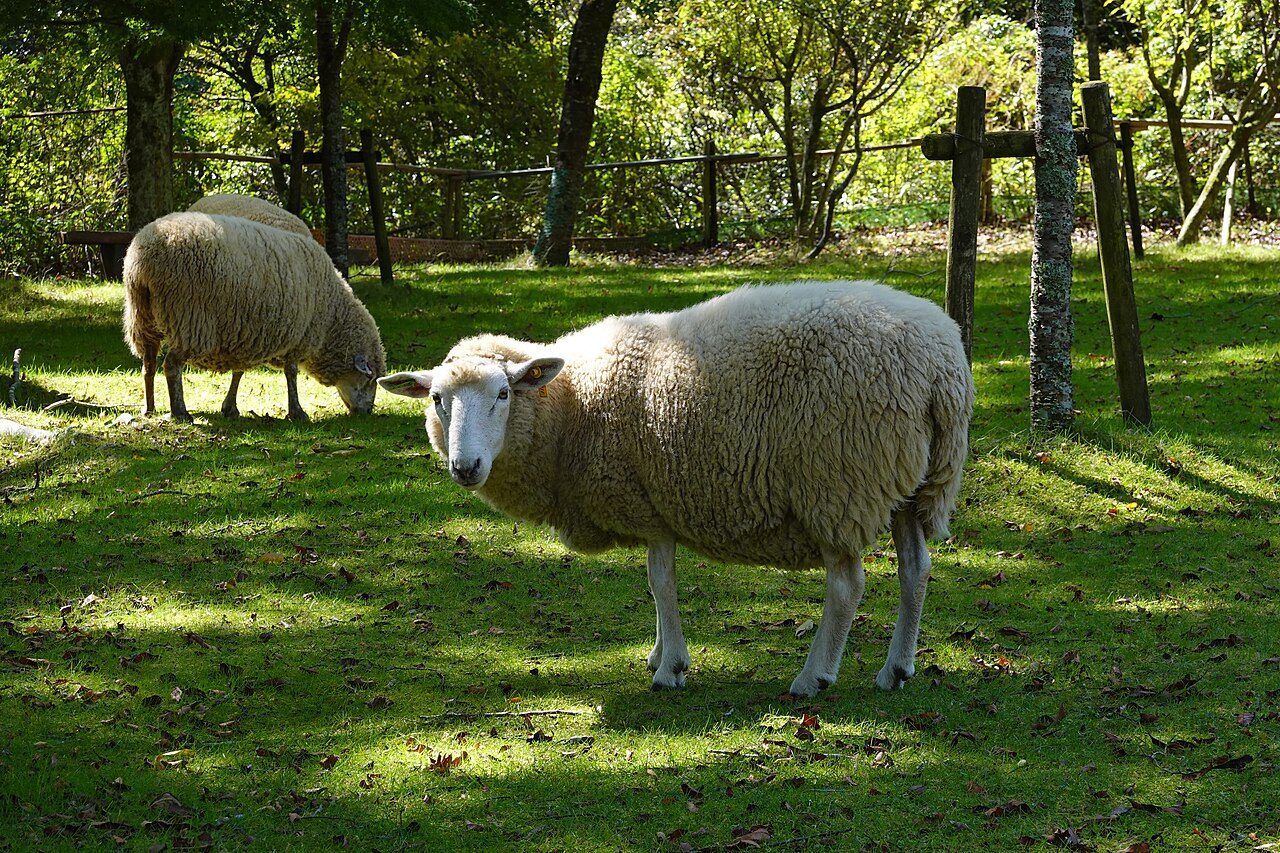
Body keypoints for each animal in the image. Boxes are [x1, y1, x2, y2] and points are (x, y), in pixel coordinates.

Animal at [123, 211, 386, 422]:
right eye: (370, 379)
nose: (367, 412)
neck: (332, 314)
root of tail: (142, 258)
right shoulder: (298, 336)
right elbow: (291, 374)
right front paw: (297, 411)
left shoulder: (246, 332)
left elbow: (239, 371)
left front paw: (230, 408)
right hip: (190, 319)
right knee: (171, 365)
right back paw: (180, 412)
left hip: (142, 317)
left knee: (148, 364)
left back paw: (149, 408)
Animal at [379, 280, 974, 696]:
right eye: (436, 399)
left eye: (503, 393)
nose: (466, 466)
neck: (571, 405)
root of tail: (940, 365)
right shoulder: (654, 506)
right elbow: (655, 586)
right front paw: (659, 653)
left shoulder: (648, 504)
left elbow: (660, 583)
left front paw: (670, 668)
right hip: (908, 484)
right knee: (916, 570)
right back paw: (896, 669)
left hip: (836, 483)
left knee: (847, 586)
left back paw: (814, 677)